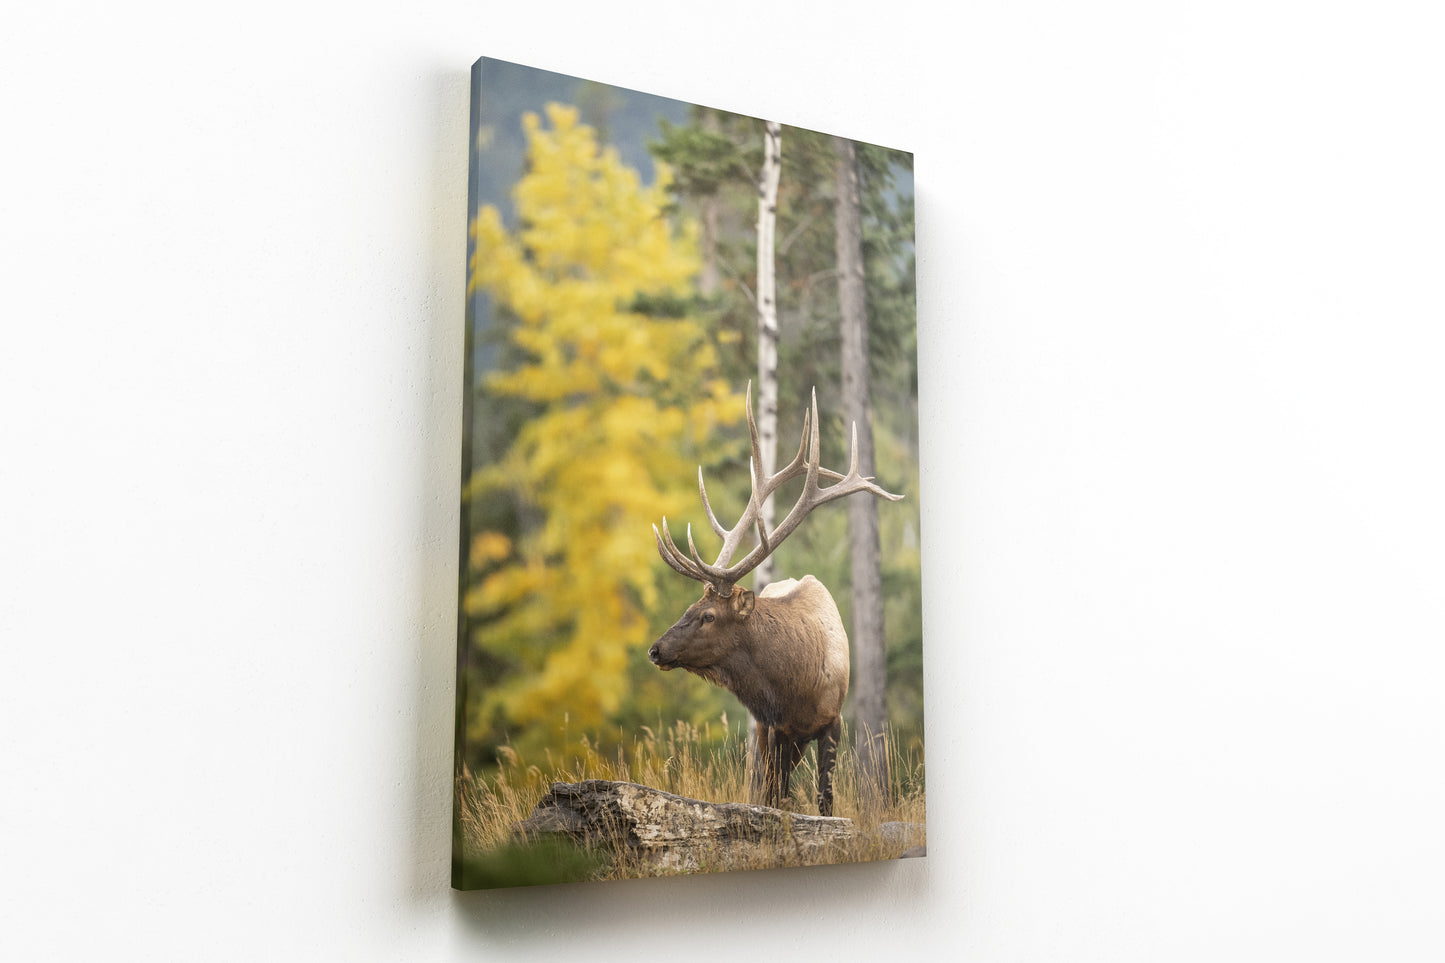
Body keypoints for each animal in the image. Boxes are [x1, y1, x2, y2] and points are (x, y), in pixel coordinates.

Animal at [648, 384, 902, 817]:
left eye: (708, 616)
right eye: (689, 608)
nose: (656, 649)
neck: (795, 685)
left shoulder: (832, 720)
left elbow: (824, 798)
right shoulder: (773, 728)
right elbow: (774, 797)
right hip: (767, 737)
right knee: (764, 784)